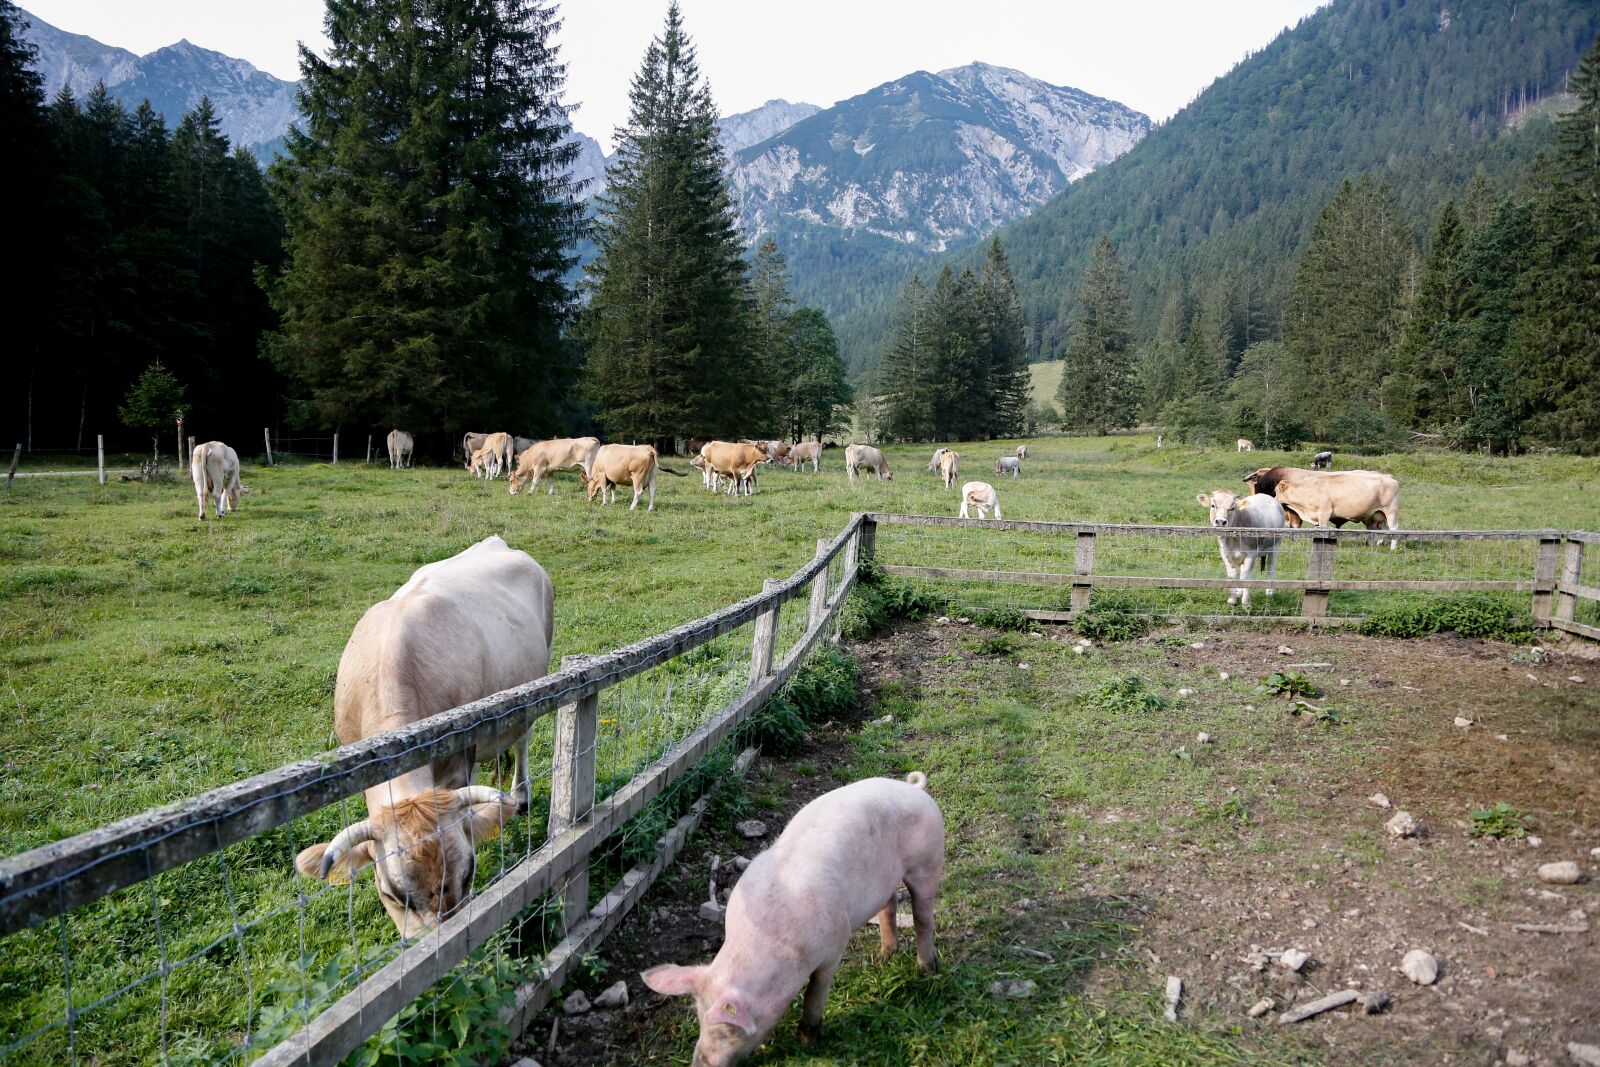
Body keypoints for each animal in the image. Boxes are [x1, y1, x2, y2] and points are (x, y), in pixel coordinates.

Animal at [1244, 466, 1402, 550]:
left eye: (1276, 491)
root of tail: (1389, 477)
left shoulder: (1317, 513)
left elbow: (1295, 528)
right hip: (1377, 514)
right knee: (1381, 529)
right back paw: (1377, 543)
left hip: (1390, 511)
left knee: (1394, 529)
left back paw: (1392, 548)